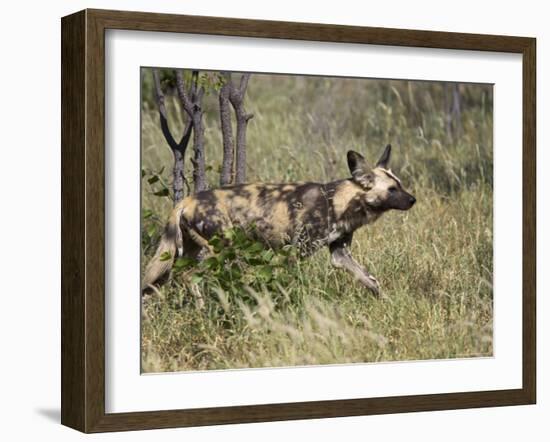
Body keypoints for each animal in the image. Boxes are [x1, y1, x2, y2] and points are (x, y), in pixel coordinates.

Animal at [144, 147, 416, 296]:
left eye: (400, 185)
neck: (341, 201)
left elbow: (371, 281)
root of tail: (186, 200)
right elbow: (291, 284)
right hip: (218, 251)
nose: (413, 200)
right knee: (189, 277)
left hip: (181, 254)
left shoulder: (340, 255)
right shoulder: (295, 251)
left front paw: (384, 301)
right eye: (392, 189)